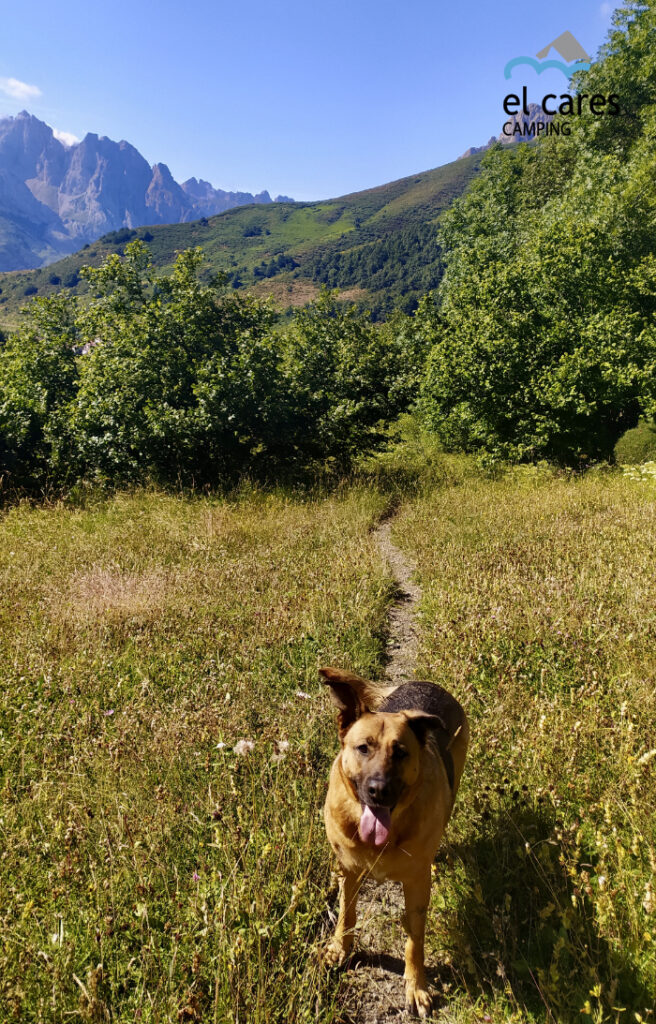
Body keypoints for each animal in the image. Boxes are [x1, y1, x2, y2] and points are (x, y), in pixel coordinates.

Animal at [319, 663, 468, 1015]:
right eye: (363, 747)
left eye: (400, 753)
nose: (379, 790)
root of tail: (425, 684)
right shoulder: (350, 871)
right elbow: (346, 912)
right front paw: (340, 948)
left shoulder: (416, 884)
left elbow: (416, 939)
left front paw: (416, 985)